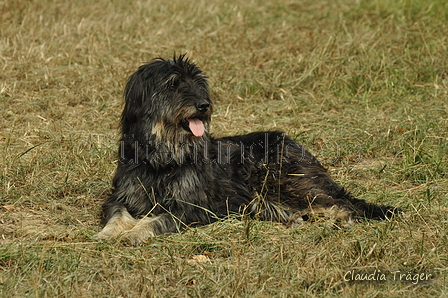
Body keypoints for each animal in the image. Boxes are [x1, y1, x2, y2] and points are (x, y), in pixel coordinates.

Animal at [96, 54, 398, 244]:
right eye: (172, 84)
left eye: (198, 84)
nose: (204, 105)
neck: (163, 156)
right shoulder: (121, 195)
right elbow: (117, 214)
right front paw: (109, 233)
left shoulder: (193, 206)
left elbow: (156, 219)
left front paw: (134, 232)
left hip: (285, 181)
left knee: (339, 202)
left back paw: (339, 221)